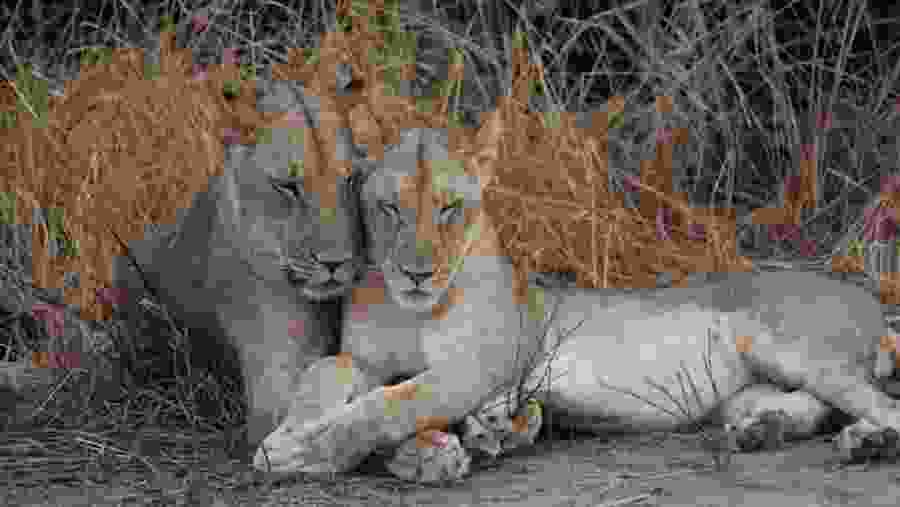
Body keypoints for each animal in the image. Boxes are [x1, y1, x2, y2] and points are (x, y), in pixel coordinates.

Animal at [254, 105, 900, 475]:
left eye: (449, 208)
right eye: (389, 209)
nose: (417, 272)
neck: (409, 307)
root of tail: (866, 297)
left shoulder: (475, 369)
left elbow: (387, 406)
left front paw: (306, 452)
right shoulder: (358, 359)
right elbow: (321, 378)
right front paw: (286, 434)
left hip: (795, 348)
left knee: (881, 404)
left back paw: (869, 441)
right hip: (750, 388)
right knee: (808, 407)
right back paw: (768, 432)